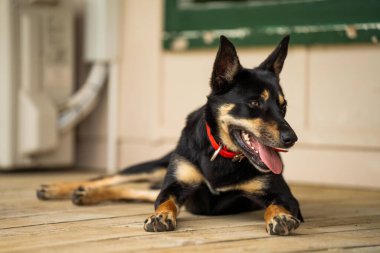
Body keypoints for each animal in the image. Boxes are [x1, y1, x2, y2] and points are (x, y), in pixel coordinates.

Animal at [36, 35, 302, 235]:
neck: (220, 154)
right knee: (107, 178)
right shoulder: (174, 185)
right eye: (255, 103)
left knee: (136, 190)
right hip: (154, 166)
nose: (292, 138)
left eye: (283, 107)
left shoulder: (284, 197)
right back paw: (58, 188)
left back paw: (85, 195)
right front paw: (161, 216)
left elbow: (276, 206)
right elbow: (164, 202)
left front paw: (280, 218)